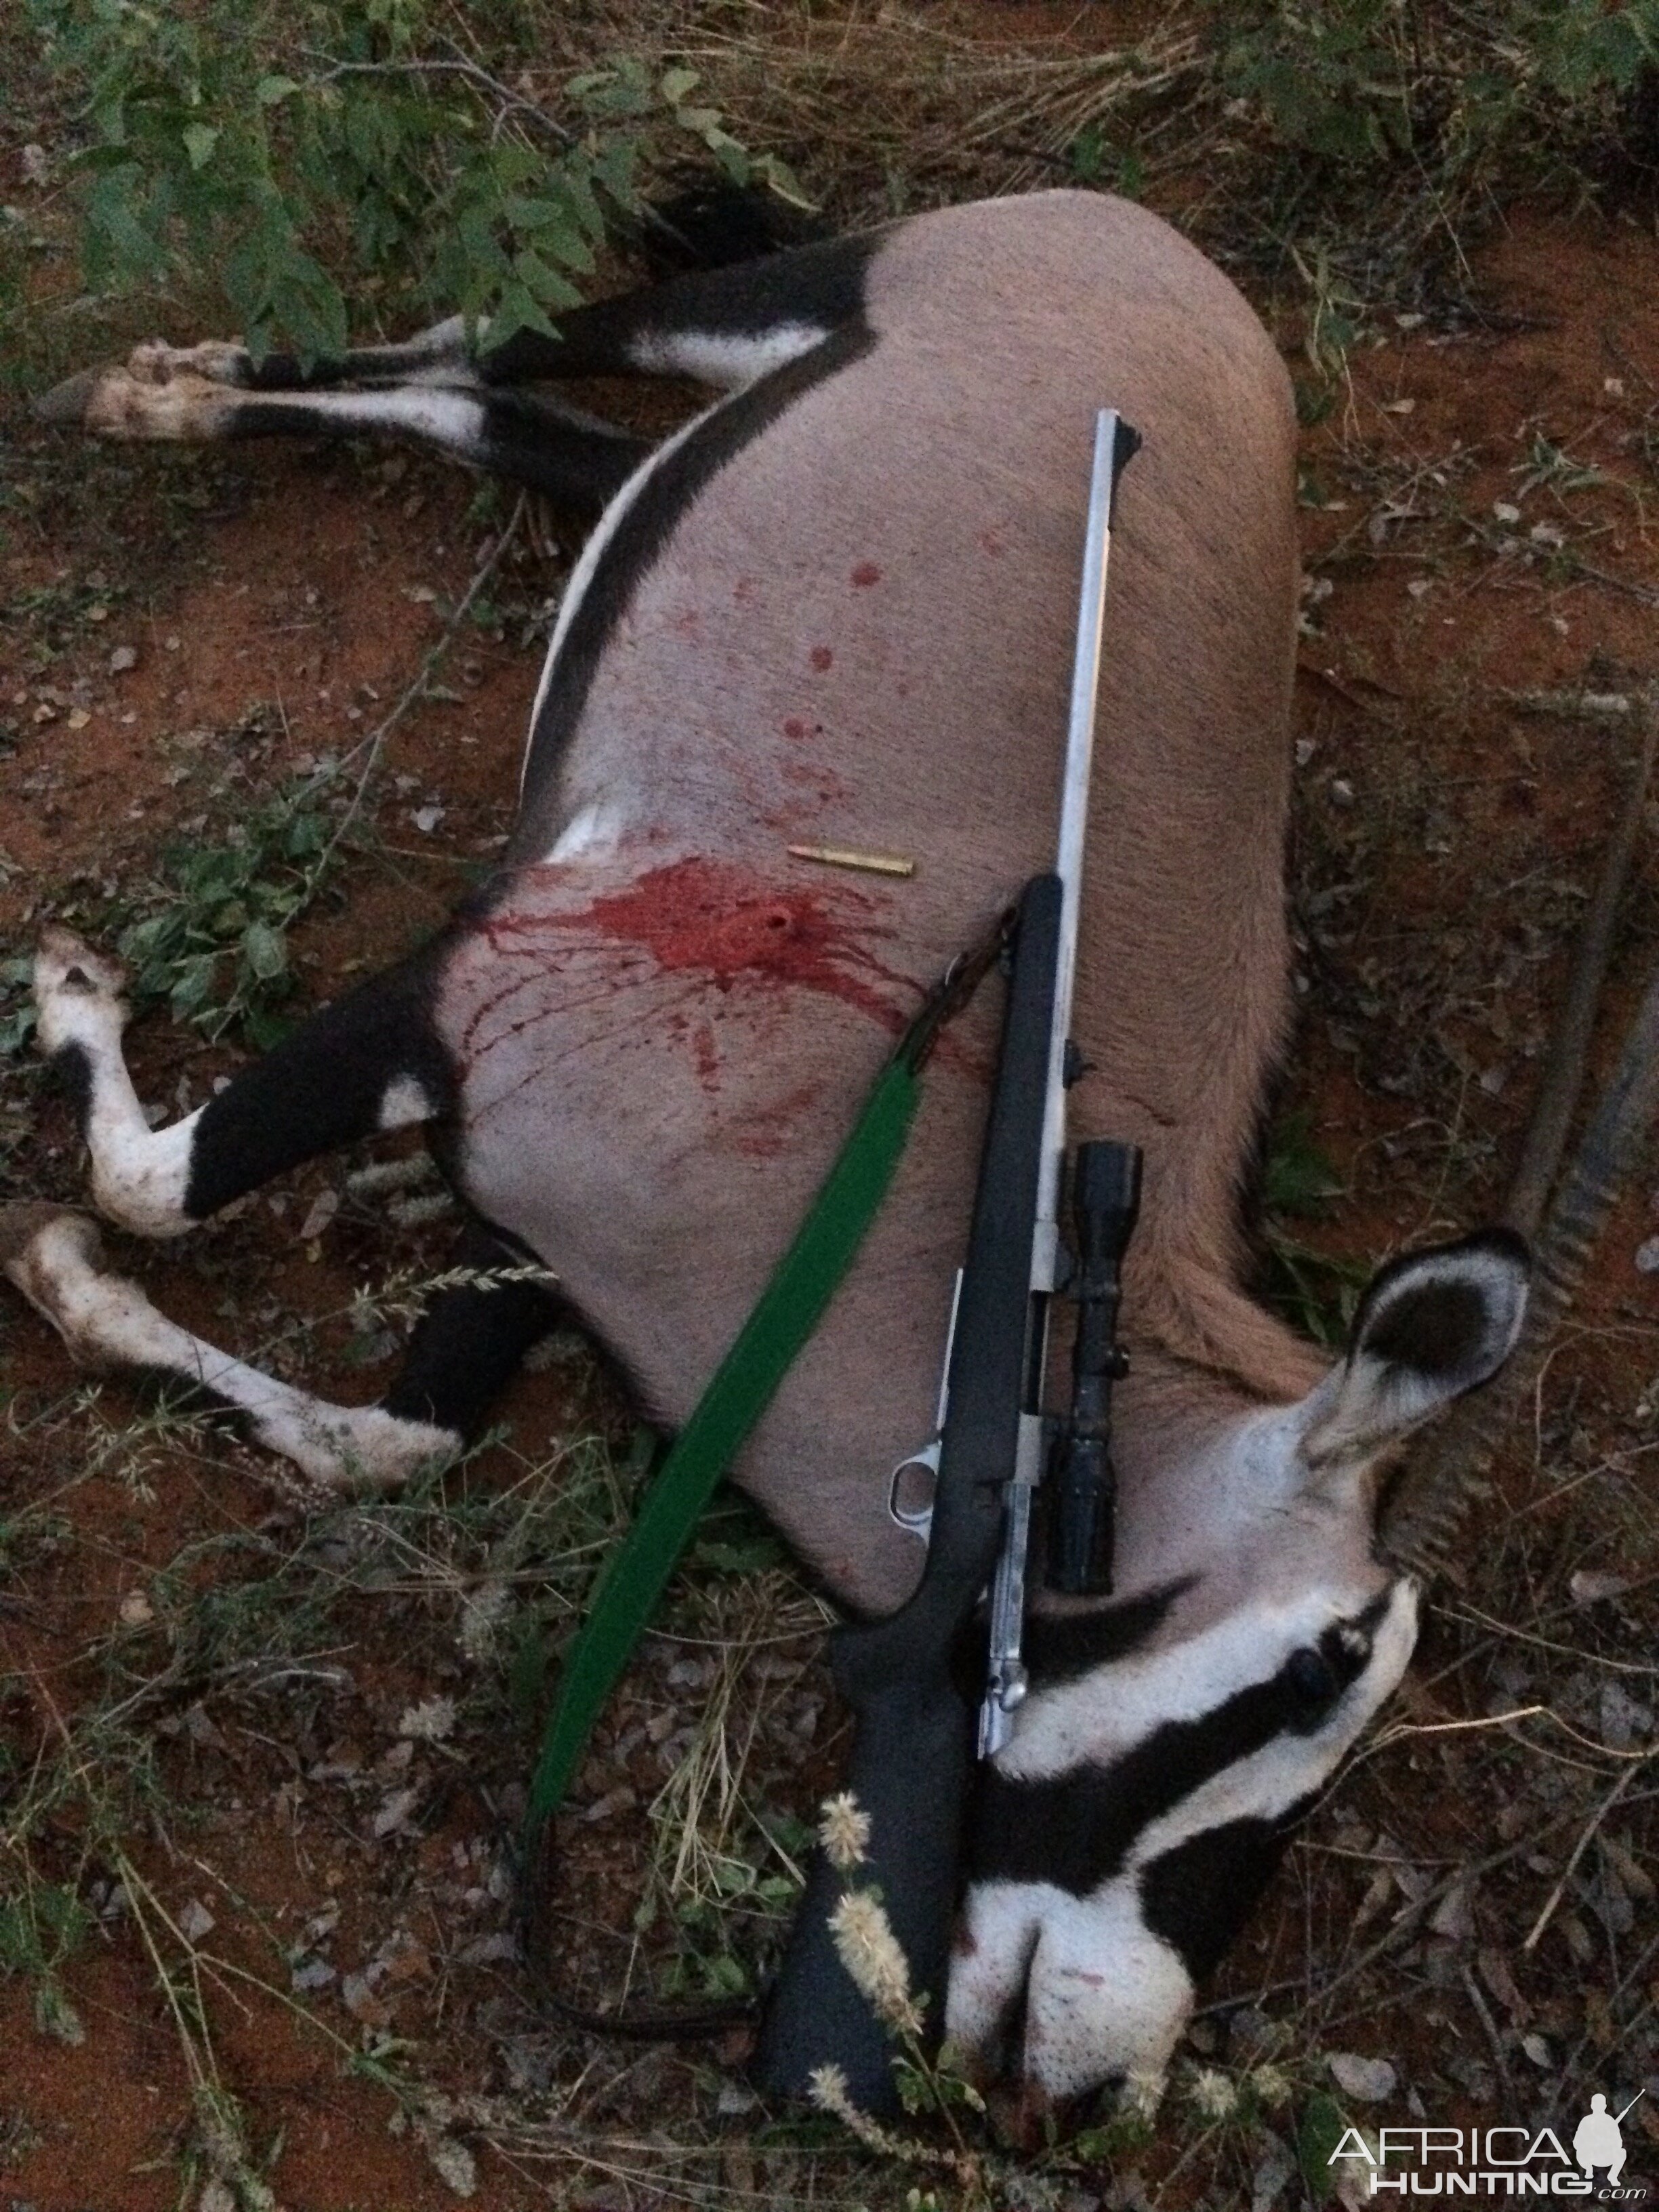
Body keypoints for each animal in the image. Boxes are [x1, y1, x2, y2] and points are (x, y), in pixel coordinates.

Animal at [6, 194, 1654, 2106]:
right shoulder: (455, 1001)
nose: (1102, 2086)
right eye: (1305, 1674)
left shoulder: (540, 1233)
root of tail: (1148, 248)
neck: (907, 1152)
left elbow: (390, 1441)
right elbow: (145, 1190)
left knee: (525, 425)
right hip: (769, 302)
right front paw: (62, 1062)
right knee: (501, 337)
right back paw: (153, 393)